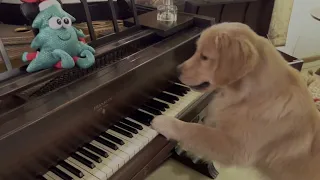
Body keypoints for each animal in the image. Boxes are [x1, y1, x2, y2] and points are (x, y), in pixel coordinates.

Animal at [151, 22, 320, 180]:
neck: (248, 93)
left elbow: (195, 130)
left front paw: (164, 122)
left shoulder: (237, 148)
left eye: (204, 57)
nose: (177, 70)